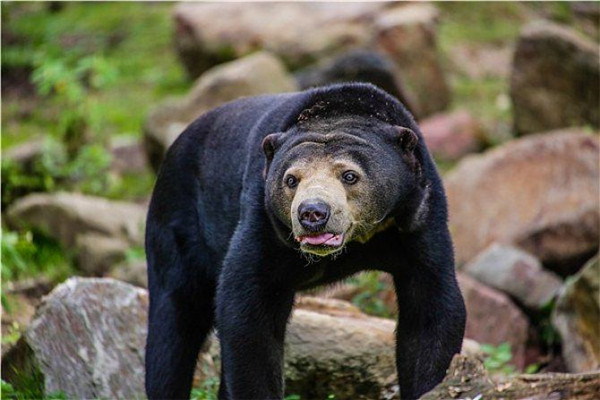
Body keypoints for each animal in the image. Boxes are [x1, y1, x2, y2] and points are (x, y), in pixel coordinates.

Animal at [146, 83, 468, 398]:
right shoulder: (262, 218)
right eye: (291, 180)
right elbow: (247, 310)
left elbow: (430, 311)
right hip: (176, 224)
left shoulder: (420, 217)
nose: (312, 213)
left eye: (349, 175)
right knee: (173, 325)